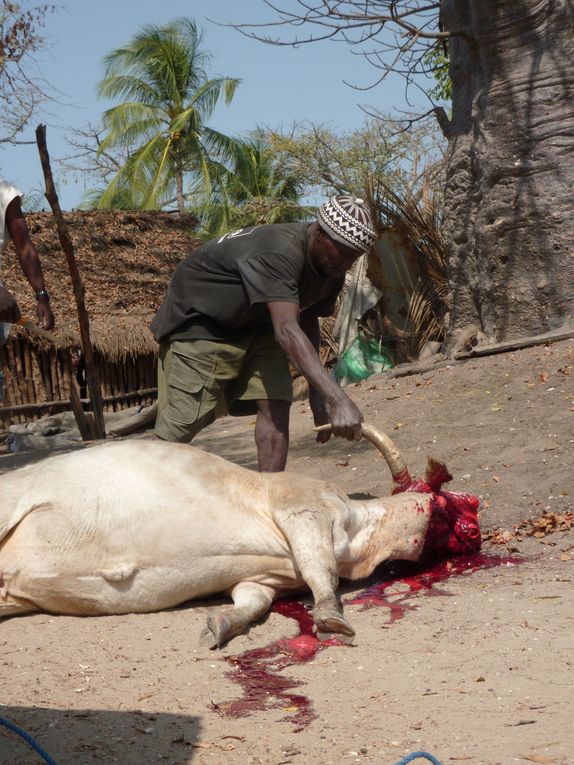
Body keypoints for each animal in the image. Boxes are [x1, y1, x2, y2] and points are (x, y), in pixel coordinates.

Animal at [0, 424, 482, 644]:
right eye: (451, 506)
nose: (477, 534)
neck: (361, 534)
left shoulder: (261, 580)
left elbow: (252, 602)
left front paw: (222, 623)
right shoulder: (303, 506)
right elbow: (321, 571)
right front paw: (331, 617)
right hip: (10, 502)